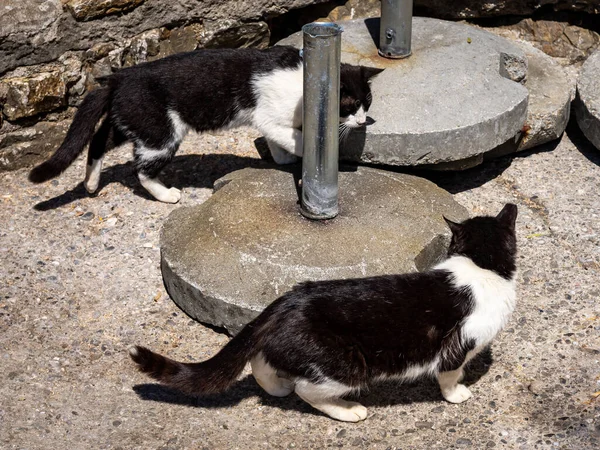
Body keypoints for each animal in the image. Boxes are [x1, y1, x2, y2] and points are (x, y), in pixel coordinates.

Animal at [28, 44, 382, 203]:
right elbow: (291, 135)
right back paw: (166, 194)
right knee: (139, 169)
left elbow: (276, 139)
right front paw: (313, 150)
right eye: (350, 106)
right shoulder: (268, 116)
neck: (303, 80)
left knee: (100, 138)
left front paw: (281, 157)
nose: (362, 120)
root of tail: (120, 77)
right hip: (161, 133)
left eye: (367, 102)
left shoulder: (269, 120)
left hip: (136, 119)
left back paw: (90, 182)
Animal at [129, 204, 516, 422]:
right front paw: (457, 394)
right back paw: (347, 410)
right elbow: (449, 374)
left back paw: (276, 387)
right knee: (308, 390)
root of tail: (287, 301)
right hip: (349, 363)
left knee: (260, 360)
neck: (481, 265)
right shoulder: (459, 345)